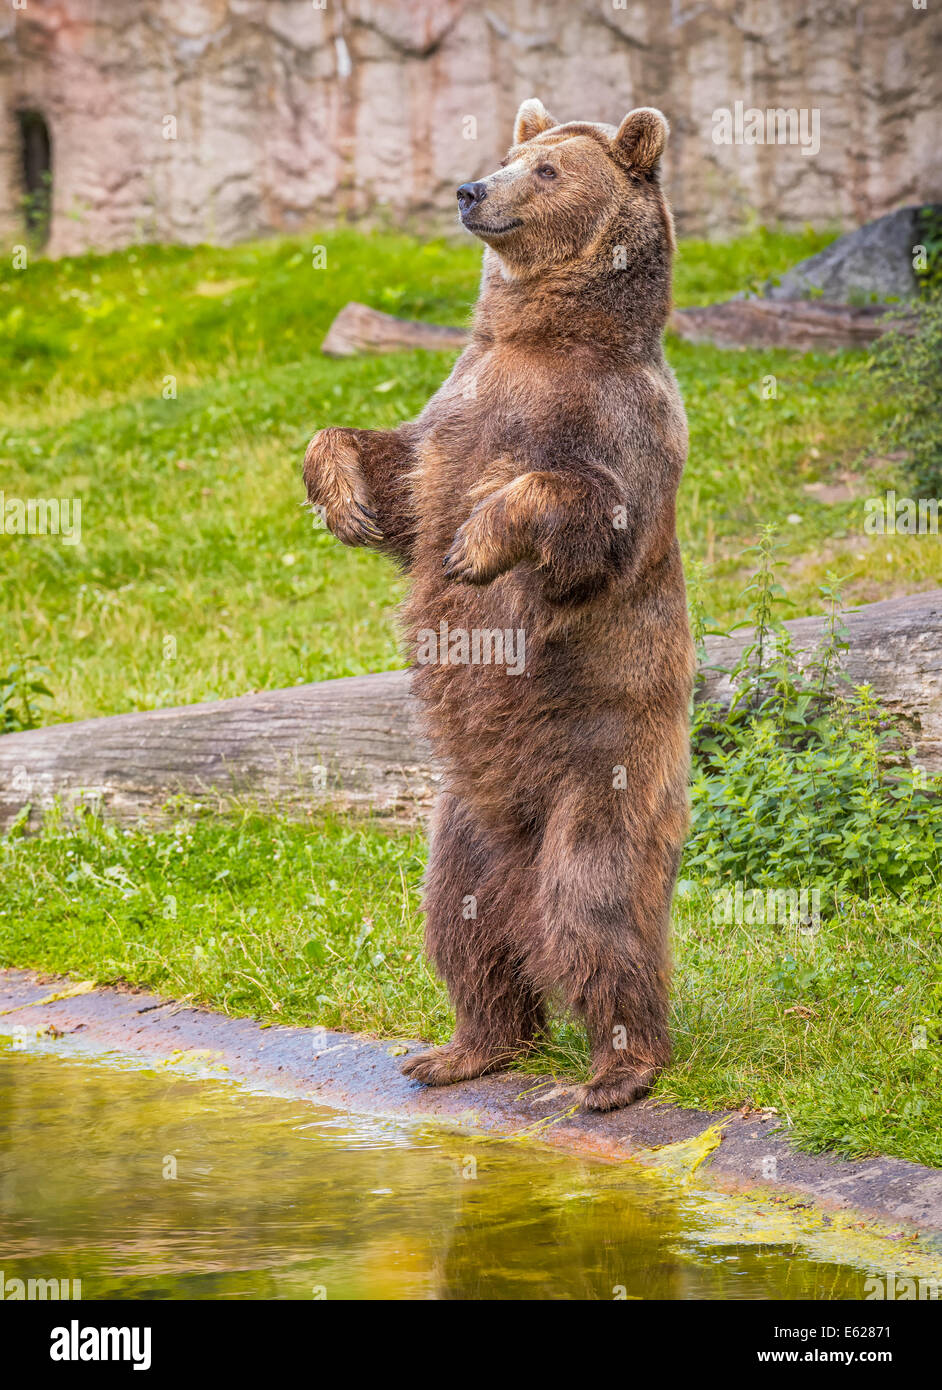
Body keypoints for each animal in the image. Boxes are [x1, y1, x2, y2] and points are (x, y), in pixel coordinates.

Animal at [305, 97, 697, 1112]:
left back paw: (619, 1068)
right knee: (463, 924)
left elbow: (582, 515)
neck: (545, 337)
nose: (472, 189)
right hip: (466, 822)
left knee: (595, 911)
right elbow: (396, 472)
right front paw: (344, 494)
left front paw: (478, 542)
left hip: (605, 772)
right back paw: (464, 1047)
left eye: (550, 170)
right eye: (515, 152)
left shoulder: (618, 426)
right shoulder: (457, 406)